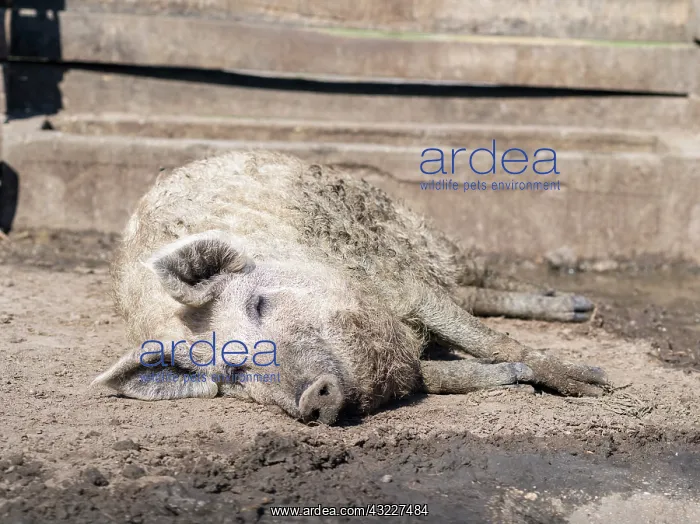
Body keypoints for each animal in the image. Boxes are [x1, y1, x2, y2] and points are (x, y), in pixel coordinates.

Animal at [92, 150, 609, 425]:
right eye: (235, 372)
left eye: (259, 304)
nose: (309, 397)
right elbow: (442, 376)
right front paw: (515, 377)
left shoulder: (400, 285)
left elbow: (488, 338)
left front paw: (595, 385)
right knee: (473, 293)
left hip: (421, 233)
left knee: (478, 276)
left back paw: (579, 305)